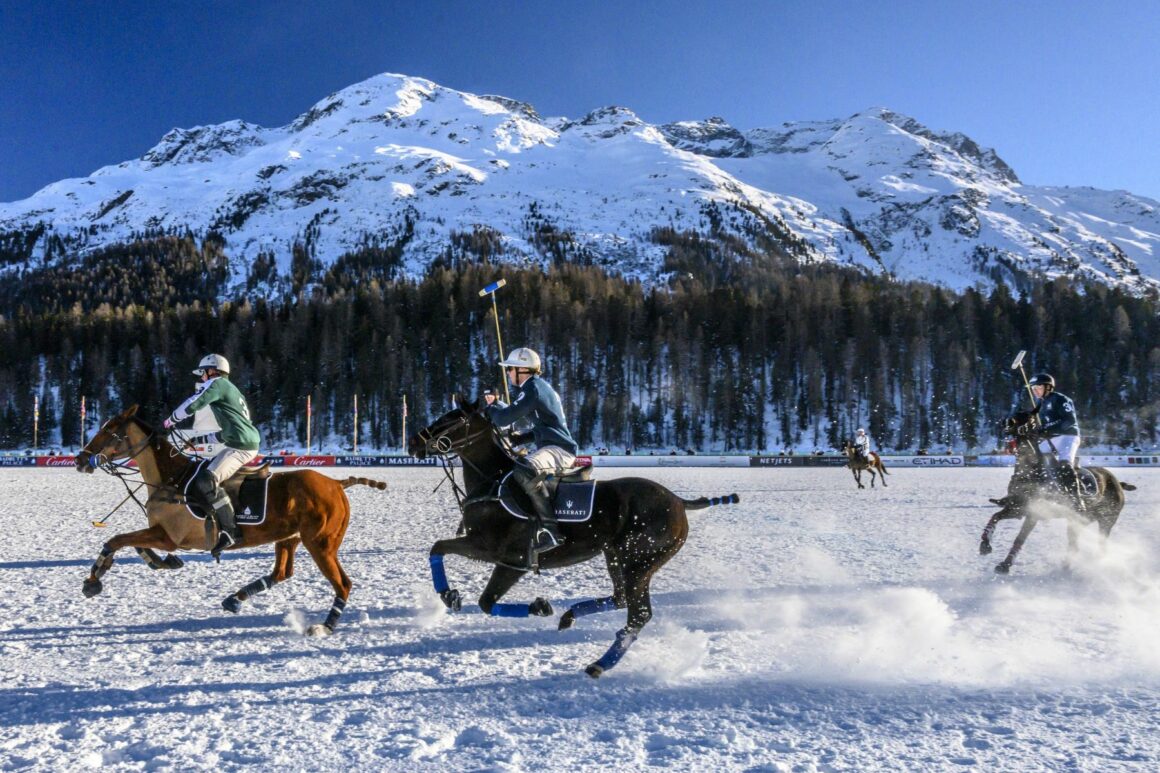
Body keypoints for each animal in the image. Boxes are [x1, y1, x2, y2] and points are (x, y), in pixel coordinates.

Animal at [74, 403, 387, 631]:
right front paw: (163, 563)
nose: (79, 459)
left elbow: (117, 539)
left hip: (321, 543)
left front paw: (93, 580)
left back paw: (325, 627)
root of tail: (336, 484)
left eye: (109, 430)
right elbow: (133, 543)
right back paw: (235, 599)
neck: (170, 479)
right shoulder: (162, 534)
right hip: (289, 538)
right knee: (282, 572)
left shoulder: (171, 537)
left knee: (342, 583)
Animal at [408, 396, 733, 673]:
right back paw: (570, 616)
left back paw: (600, 664)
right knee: (621, 598)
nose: (413, 442)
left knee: (638, 614)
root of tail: (679, 502)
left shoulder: (507, 558)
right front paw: (450, 595)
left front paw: (537, 606)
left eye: (453, 418)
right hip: (617, 556)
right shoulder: (490, 551)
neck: (492, 484)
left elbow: (483, 597)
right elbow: (438, 549)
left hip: (639, 561)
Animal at [979, 408, 1132, 571]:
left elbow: (1020, 538)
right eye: (1016, 412)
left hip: (1107, 520)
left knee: (1100, 543)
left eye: (1028, 418)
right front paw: (985, 545)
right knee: (1074, 543)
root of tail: (1117, 482)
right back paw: (1068, 564)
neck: (1030, 472)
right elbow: (995, 517)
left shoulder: (1034, 513)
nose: (1006, 422)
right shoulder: (1019, 508)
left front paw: (1005, 565)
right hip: (1081, 519)